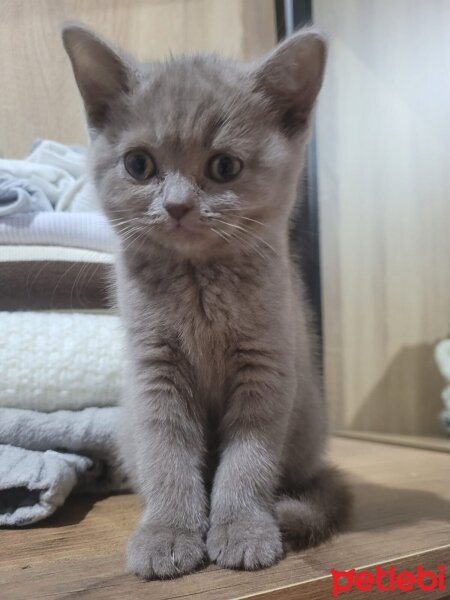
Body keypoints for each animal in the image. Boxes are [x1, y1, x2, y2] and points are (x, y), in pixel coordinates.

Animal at [63, 24, 352, 580]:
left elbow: (248, 461)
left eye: (224, 166)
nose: (177, 205)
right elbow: (167, 456)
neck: (198, 284)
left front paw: (242, 529)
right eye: (138, 164)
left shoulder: (267, 366)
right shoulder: (155, 372)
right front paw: (168, 533)